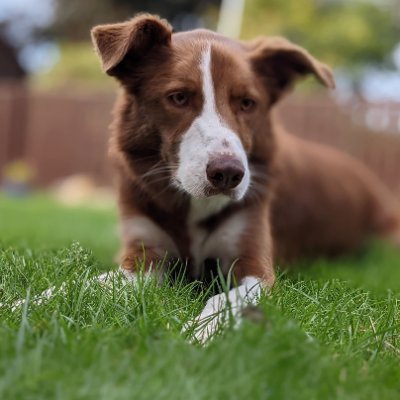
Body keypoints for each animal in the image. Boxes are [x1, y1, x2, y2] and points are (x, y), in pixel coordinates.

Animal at [90, 14, 400, 340]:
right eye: (178, 98)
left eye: (248, 103)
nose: (227, 173)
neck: (193, 208)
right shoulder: (145, 252)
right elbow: (95, 283)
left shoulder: (254, 265)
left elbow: (223, 299)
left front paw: (200, 333)